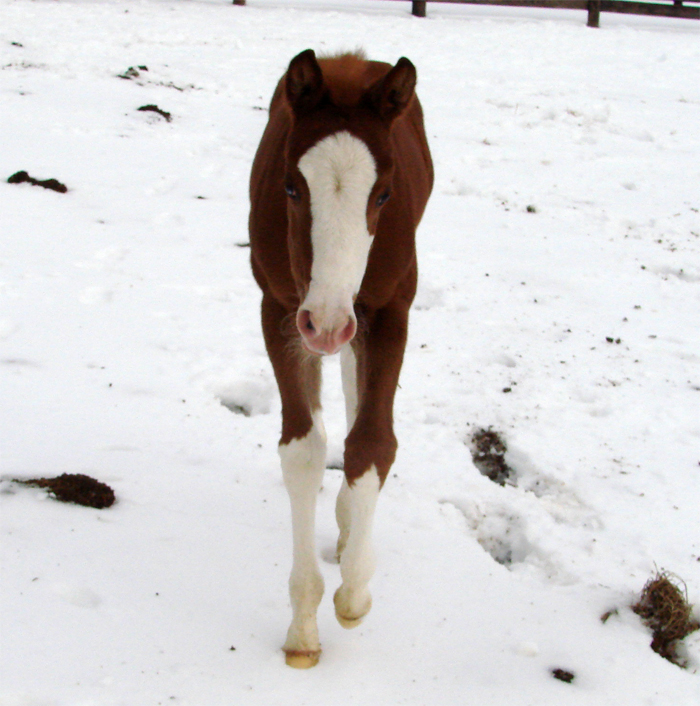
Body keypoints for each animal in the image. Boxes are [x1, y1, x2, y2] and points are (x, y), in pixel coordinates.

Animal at [248, 49, 433, 668]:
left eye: (383, 195)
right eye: (290, 187)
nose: (326, 322)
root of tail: (350, 62)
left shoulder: (391, 309)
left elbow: (373, 442)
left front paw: (354, 593)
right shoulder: (282, 310)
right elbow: (303, 450)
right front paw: (303, 627)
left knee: (357, 401)